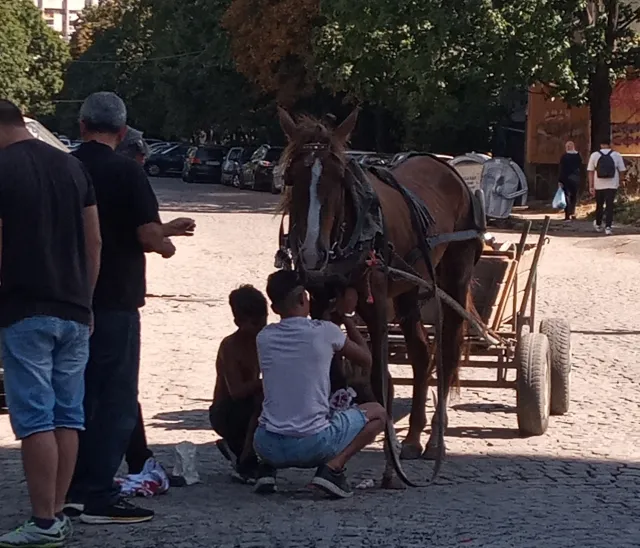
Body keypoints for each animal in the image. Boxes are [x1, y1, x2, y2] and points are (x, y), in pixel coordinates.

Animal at [278, 107, 482, 488]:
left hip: (455, 277)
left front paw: (389, 465)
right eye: (291, 177)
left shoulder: (378, 308)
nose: (312, 252)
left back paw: (435, 440)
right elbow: (332, 370)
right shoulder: (321, 304)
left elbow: (380, 377)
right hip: (411, 288)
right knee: (421, 354)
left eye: (338, 177)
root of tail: (450, 169)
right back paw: (414, 437)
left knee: (446, 351)